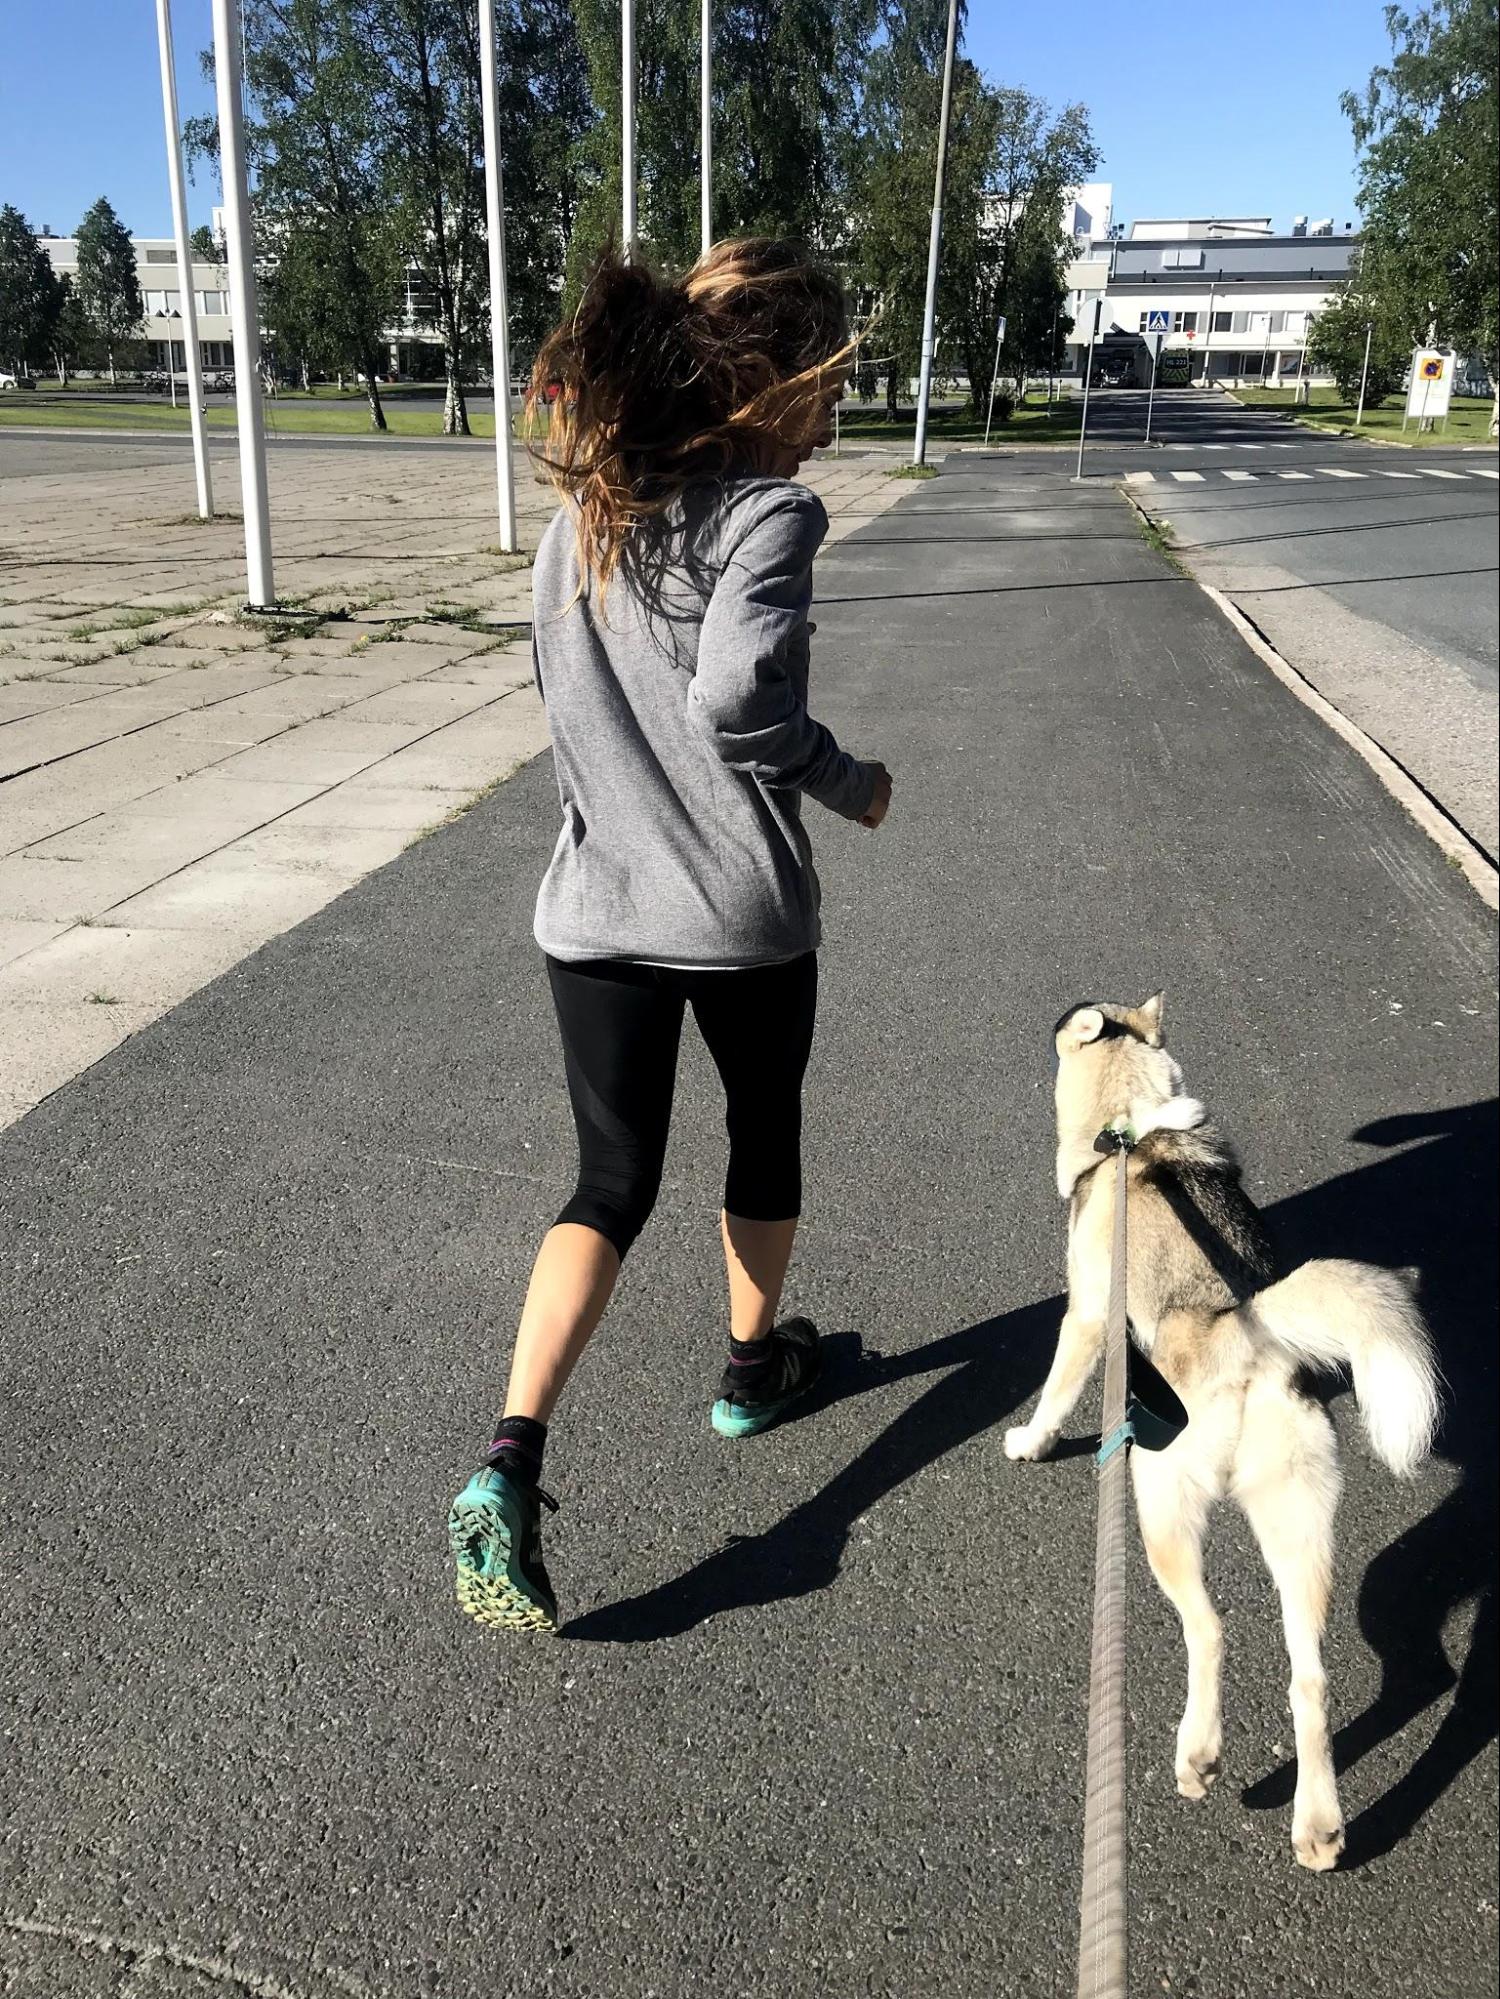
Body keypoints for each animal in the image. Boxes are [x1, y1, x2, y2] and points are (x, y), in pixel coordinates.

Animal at [1012, 999, 1448, 1871]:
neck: (1129, 1127)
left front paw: (1029, 1440)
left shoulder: (1088, 1318)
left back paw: (1199, 1754)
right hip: (1302, 1527)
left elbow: (1055, 1390)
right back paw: (1317, 1824)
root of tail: (1248, 1335)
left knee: (1208, 1628)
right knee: (1309, 1679)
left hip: (1158, 1506)